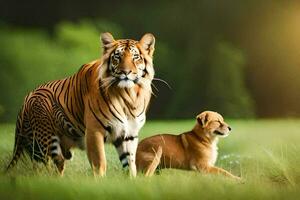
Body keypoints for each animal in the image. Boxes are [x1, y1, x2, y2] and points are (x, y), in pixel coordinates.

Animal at [6, 31, 157, 177]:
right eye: (117, 57)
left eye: (135, 57)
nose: (126, 72)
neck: (128, 96)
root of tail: (27, 97)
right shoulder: (94, 131)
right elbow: (100, 163)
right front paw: (100, 182)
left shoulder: (128, 134)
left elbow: (130, 165)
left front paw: (132, 180)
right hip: (45, 141)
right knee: (45, 168)